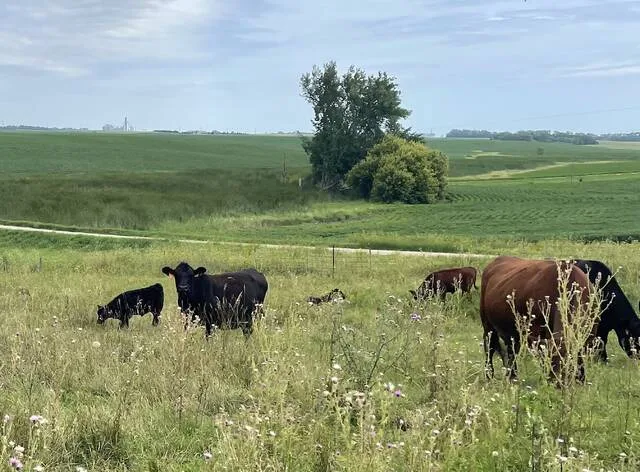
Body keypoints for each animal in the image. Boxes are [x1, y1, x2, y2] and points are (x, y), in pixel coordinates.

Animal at [480, 256, 597, 385]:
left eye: (567, 360)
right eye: (549, 360)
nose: (557, 383)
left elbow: (580, 356)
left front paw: (581, 380)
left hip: (512, 332)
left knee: (512, 350)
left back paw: (512, 376)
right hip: (487, 324)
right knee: (489, 347)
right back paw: (489, 375)